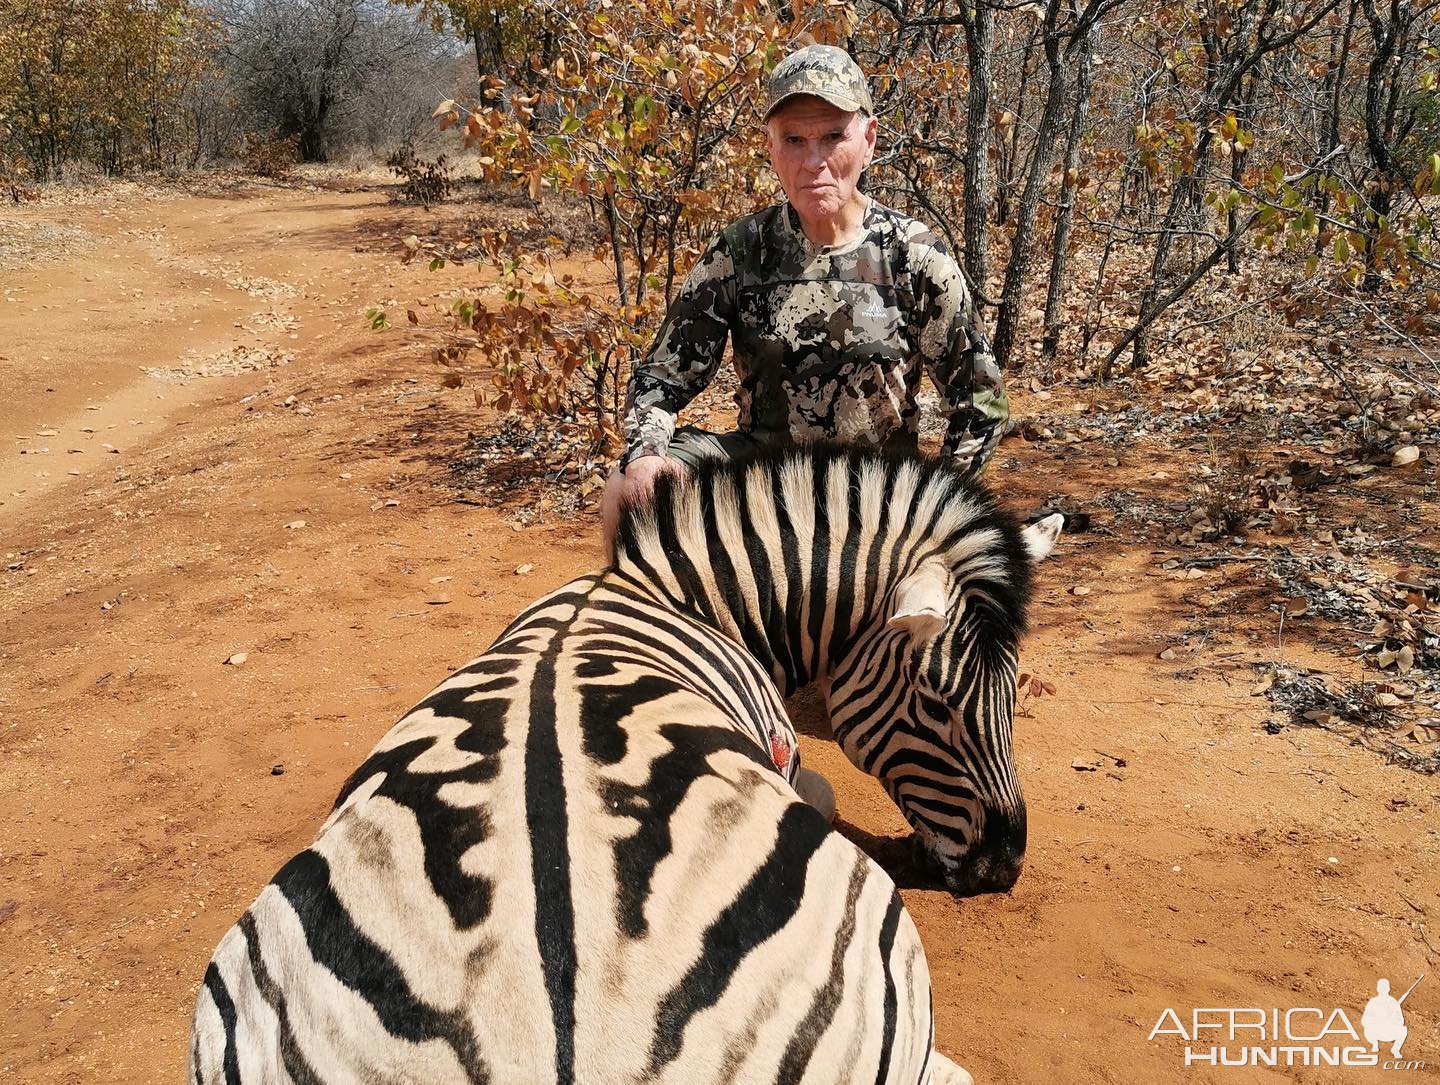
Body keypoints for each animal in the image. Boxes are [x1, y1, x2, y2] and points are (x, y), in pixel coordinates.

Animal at [188, 440, 1059, 1083]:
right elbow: (824, 790)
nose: (1004, 865)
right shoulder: (785, 754)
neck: (668, 596)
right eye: (938, 703)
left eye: (1016, 692)